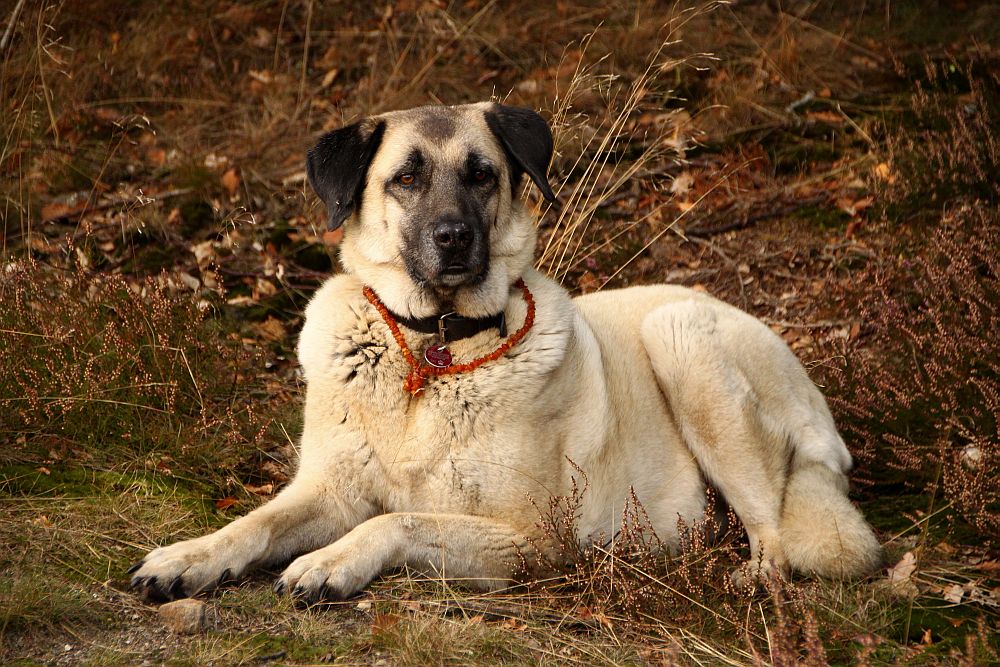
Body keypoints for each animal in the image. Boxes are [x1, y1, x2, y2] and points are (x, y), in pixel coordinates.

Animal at [131, 100, 884, 604]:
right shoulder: (327, 489)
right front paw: (190, 556)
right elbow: (255, 522)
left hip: (682, 339)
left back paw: (751, 575)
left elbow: (398, 518)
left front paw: (330, 561)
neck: (430, 347)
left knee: (775, 530)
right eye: (405, 179)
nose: (454, 237)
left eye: (481, 174)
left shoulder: (532, 538)